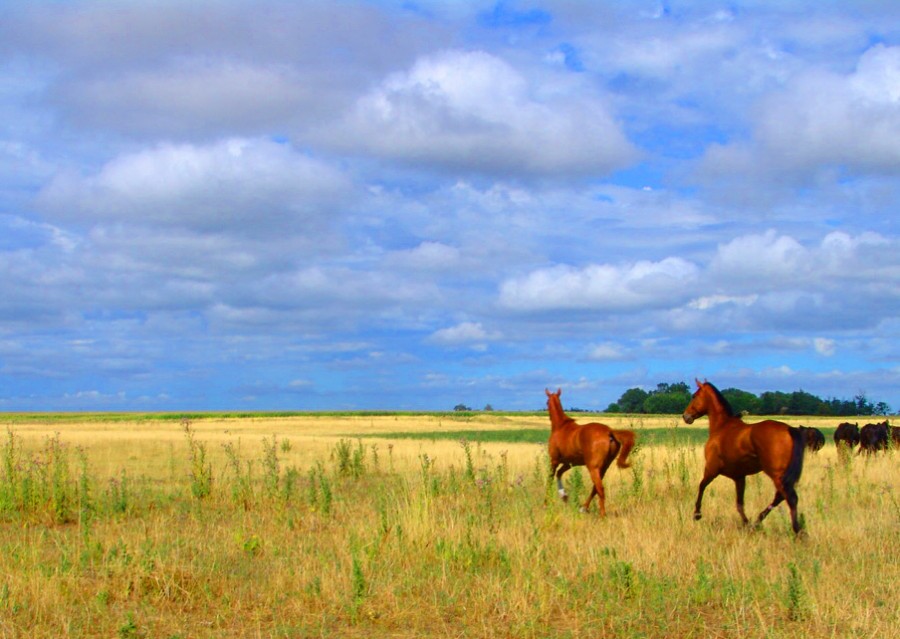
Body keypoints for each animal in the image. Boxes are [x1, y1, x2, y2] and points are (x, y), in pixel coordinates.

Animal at [544, 388, 636, 516]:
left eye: (547, 402)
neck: (561, 427)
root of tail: (609, 431)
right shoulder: (569, 463)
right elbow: (559, 474)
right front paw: (564, 496)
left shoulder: (554, 460)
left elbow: (549, 479)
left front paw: (545, 504)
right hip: (603, 467)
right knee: (595, 488)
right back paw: (583, 508)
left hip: (593, 467)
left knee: (600, 489)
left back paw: (602, 515)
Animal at [684, 380, 804, 536]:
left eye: (694, 396)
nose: (686, 416)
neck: (722, 427)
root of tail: (790, 430)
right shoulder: (739, 477)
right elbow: (739, 504)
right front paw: (747, 524)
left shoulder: (711, 469)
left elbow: (702, 486)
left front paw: (697, 514)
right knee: (780, 497)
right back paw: (757, 522)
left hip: (776, 474)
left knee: (790, 498)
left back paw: (798, 531)